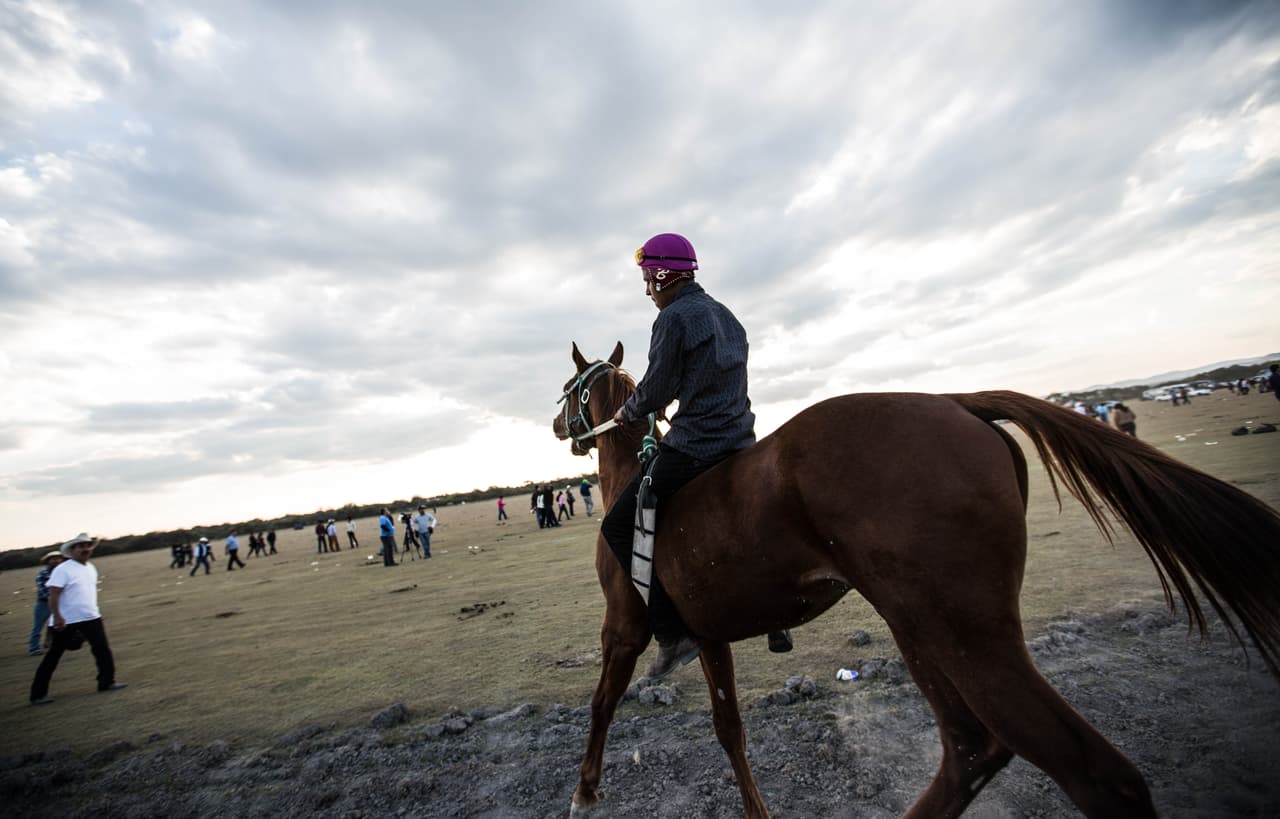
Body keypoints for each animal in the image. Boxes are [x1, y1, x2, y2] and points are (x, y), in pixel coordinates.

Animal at [552, 342, 1280, 819]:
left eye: (568, 386)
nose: (560, 425)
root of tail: (956, 402)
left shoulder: (623, 627)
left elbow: (601, 704)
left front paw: (584, 791)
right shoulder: (709, 634)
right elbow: (730, 729)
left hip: (960, 631)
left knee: (1083, 770)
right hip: (922, 625)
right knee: (972, 751)